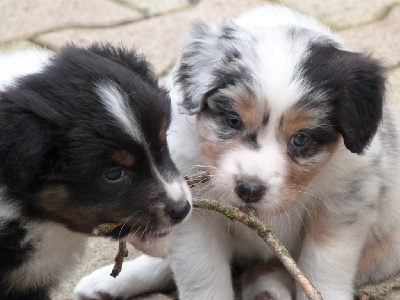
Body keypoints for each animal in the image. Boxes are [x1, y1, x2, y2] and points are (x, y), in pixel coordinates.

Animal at [76, 4, 400, 300]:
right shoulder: (193, 209)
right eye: (233, 121)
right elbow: (201, 273)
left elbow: (324, 268)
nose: (249, 190)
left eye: (301, 139)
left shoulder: (343, 204)